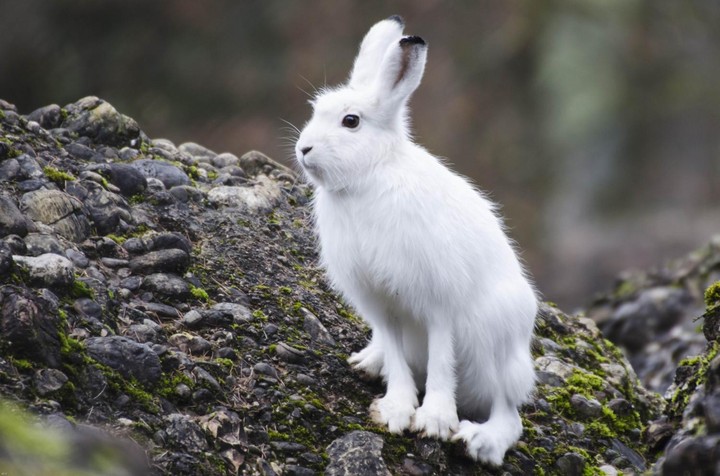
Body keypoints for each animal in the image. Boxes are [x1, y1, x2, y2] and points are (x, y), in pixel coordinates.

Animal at [294, 15, 538, 466]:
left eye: (350, 121)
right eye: (316, 112)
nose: (304, 149)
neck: (369, 178)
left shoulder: (437, 299)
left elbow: (442, 358)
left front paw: (434, 422)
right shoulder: (379, 302)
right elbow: (394, 349)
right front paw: (395, 410)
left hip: (494, 341)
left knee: (509, 413)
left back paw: (481, 440)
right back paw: (369, 361)